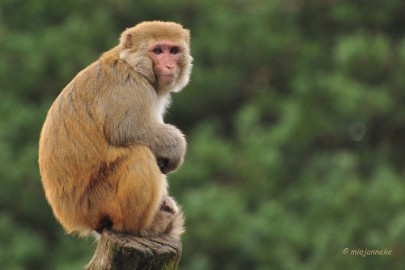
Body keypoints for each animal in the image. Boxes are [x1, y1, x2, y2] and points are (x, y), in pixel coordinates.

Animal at [37, 21, 192, 240]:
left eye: (174, 51)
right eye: (158, 51)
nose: (169, 65)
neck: (134, 65)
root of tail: (73, 218)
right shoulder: (129, 86)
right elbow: (128, 130)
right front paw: (176, 147)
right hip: (97, 201)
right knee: (139, 153)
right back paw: (139, 225)